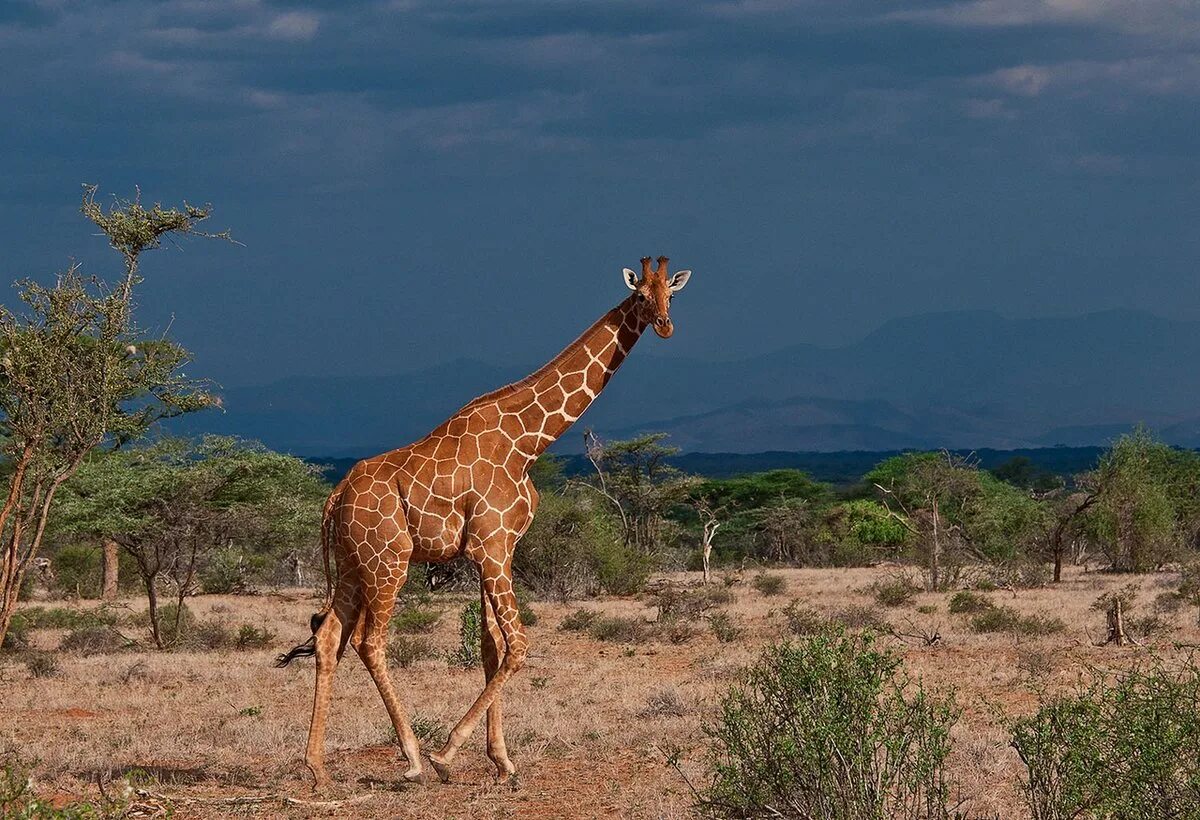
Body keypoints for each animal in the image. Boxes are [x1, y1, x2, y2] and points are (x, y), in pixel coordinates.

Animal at [277, 254, 696, 787]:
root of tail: (335, 497)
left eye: (672, 294)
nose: (665, 325)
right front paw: (449, 753)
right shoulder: (491, 547)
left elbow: (490, 647)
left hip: (354, 562)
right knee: (371, 642)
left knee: (330, 636)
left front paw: (501, 759)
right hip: (388, 560)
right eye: (641, 294)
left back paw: (317, 767)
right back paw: (413, 758)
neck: (528, 442)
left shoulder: (497, 547)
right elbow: (517, 645)